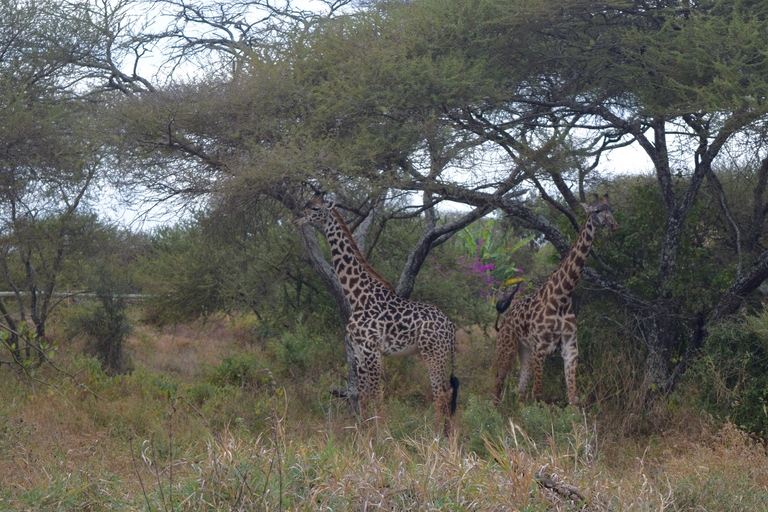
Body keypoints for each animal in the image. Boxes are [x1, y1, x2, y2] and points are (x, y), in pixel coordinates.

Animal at [288, 193, 456, 436]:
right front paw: (363, 434)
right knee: (447, 390)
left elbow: (378, 393)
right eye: (305, 204)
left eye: (315, 208)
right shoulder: (358, 350)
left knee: (441, 392)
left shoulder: (372, 349)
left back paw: (435, 436)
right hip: (437, 354)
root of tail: (451, 327)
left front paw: (381, 434)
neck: (357, 297)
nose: (295, 219)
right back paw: (446, 435)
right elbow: (363, 395)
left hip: (433, 354)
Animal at [492, 194, 616, 406]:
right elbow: (538, 394)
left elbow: (573, 397)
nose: (614, 224)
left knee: (519, 390)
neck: (563, 296)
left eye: (612, 209)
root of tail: (505, 318)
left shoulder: (570, 348)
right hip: (507, 347)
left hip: (525, 351)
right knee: (498, 383)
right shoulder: (540, 348)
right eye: (597, 210)